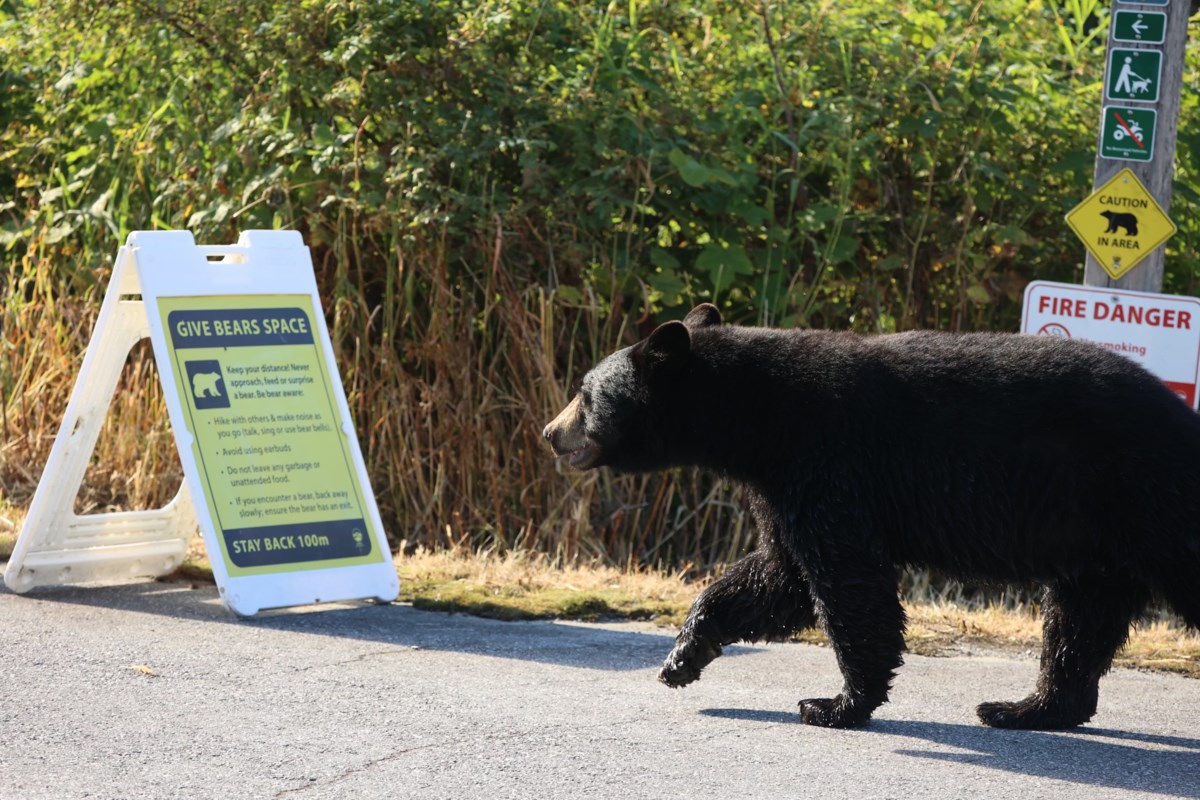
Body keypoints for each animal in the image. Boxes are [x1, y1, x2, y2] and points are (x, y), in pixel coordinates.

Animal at [544, 303, 1200, 729]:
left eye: (584, 393)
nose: (550, 433)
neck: (757, 417)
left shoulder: (830, 461)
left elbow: (846, 582)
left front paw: (835, 704)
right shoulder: (782, 485)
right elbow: (779, 577)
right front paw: (683, 657)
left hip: (1154, 497)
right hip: (1100, 539)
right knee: (1079, 621)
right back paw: (1024, 709)